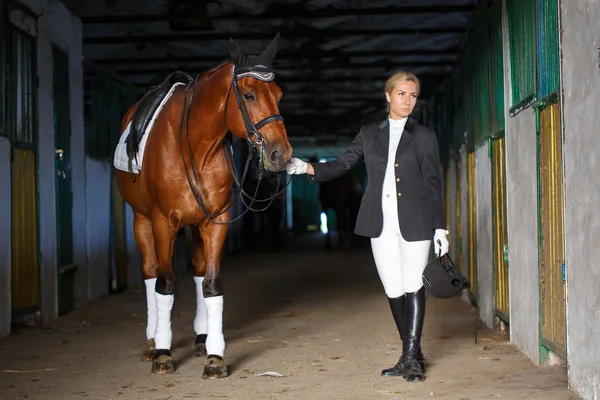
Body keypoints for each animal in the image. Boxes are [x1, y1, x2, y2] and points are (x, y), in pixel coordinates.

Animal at [113, 35, 292, 378]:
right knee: (150, 273)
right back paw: (152, 341)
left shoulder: (215, 221)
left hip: (196, 224)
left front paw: (214, 355)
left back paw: (200, 337)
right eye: (249, 94)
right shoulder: (162, 223)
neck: (195, 146)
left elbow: (211, 284)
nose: (281, 154)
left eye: (278, 95)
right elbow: (165, 284)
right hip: (142, 221)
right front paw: (164, 353)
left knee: (196, 272)